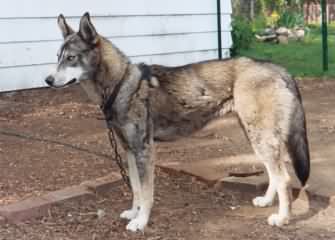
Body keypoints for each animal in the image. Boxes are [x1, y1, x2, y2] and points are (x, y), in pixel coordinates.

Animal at [45, 12, 312, 232]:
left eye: (71, 58)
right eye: (57, 57)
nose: (47, 80)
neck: (122, 84)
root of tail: (278, 69)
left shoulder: (144, 151)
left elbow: (147, 193)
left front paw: (141, 222)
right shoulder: (129, 151)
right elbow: (135, 189)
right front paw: (133, 213)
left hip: (260, 137)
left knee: (283, 178)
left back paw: (282, 218)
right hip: (255, 136)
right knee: (275, 172)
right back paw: (267, 201)